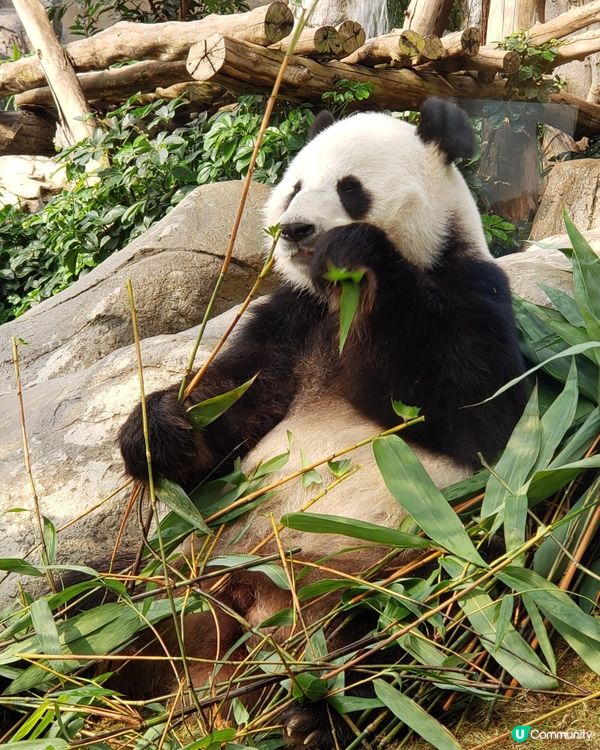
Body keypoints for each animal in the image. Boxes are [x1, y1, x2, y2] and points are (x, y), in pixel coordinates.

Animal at [116, 98, 524, 748]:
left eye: (350, 189)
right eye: (294, 188)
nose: (296, 229)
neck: (340, 303)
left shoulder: (472, 291)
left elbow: (477, 418)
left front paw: (355, 250)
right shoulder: (291, 321)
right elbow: (233, 406)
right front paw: (160, 430)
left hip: (396, 567)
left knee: (388, 638)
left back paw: (314, 716)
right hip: (187, 571)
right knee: (121, 626)